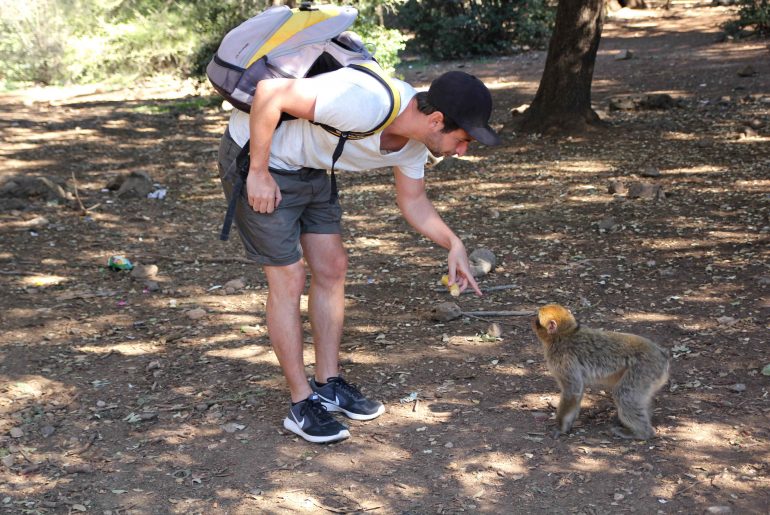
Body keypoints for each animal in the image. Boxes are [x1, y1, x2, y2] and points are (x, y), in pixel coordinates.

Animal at [532, 304, 668, 442]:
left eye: (537, 318)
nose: (532, 320)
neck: (564, 334)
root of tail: (661, 354)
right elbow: (578, 390)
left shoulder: (563, 360)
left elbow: (573, 391)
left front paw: (561, 427)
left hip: (644, 369)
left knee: (623, 394)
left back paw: (642, 433)